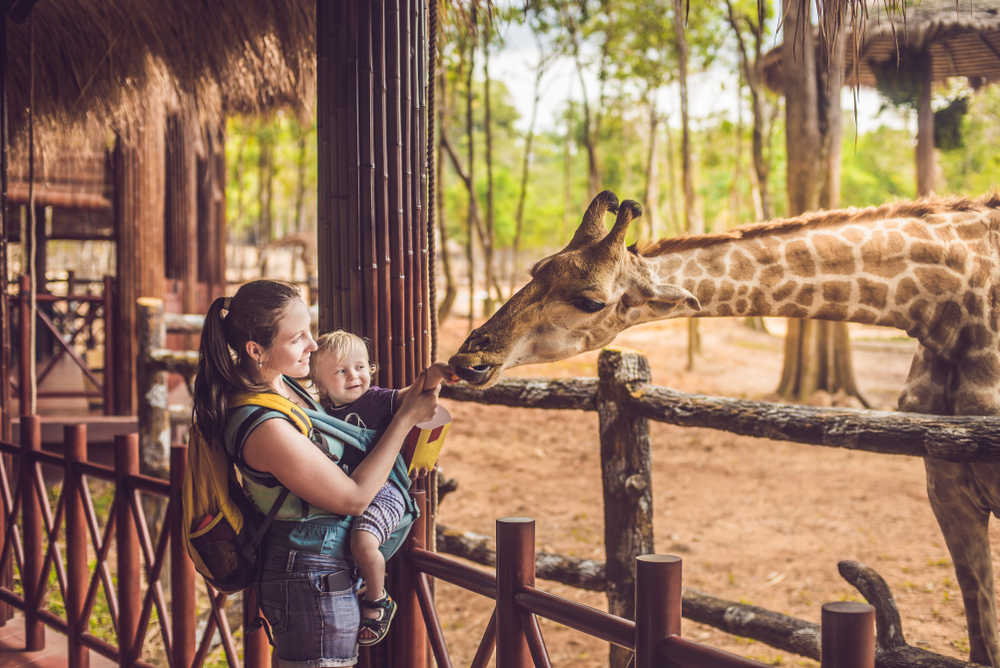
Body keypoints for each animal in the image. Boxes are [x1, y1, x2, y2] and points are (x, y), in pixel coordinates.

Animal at [450, 189, 1000, 668]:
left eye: (590, 301)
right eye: (535, 270)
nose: (467, 359)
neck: (946, 308)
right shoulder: (945, 485)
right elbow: (981, 636)